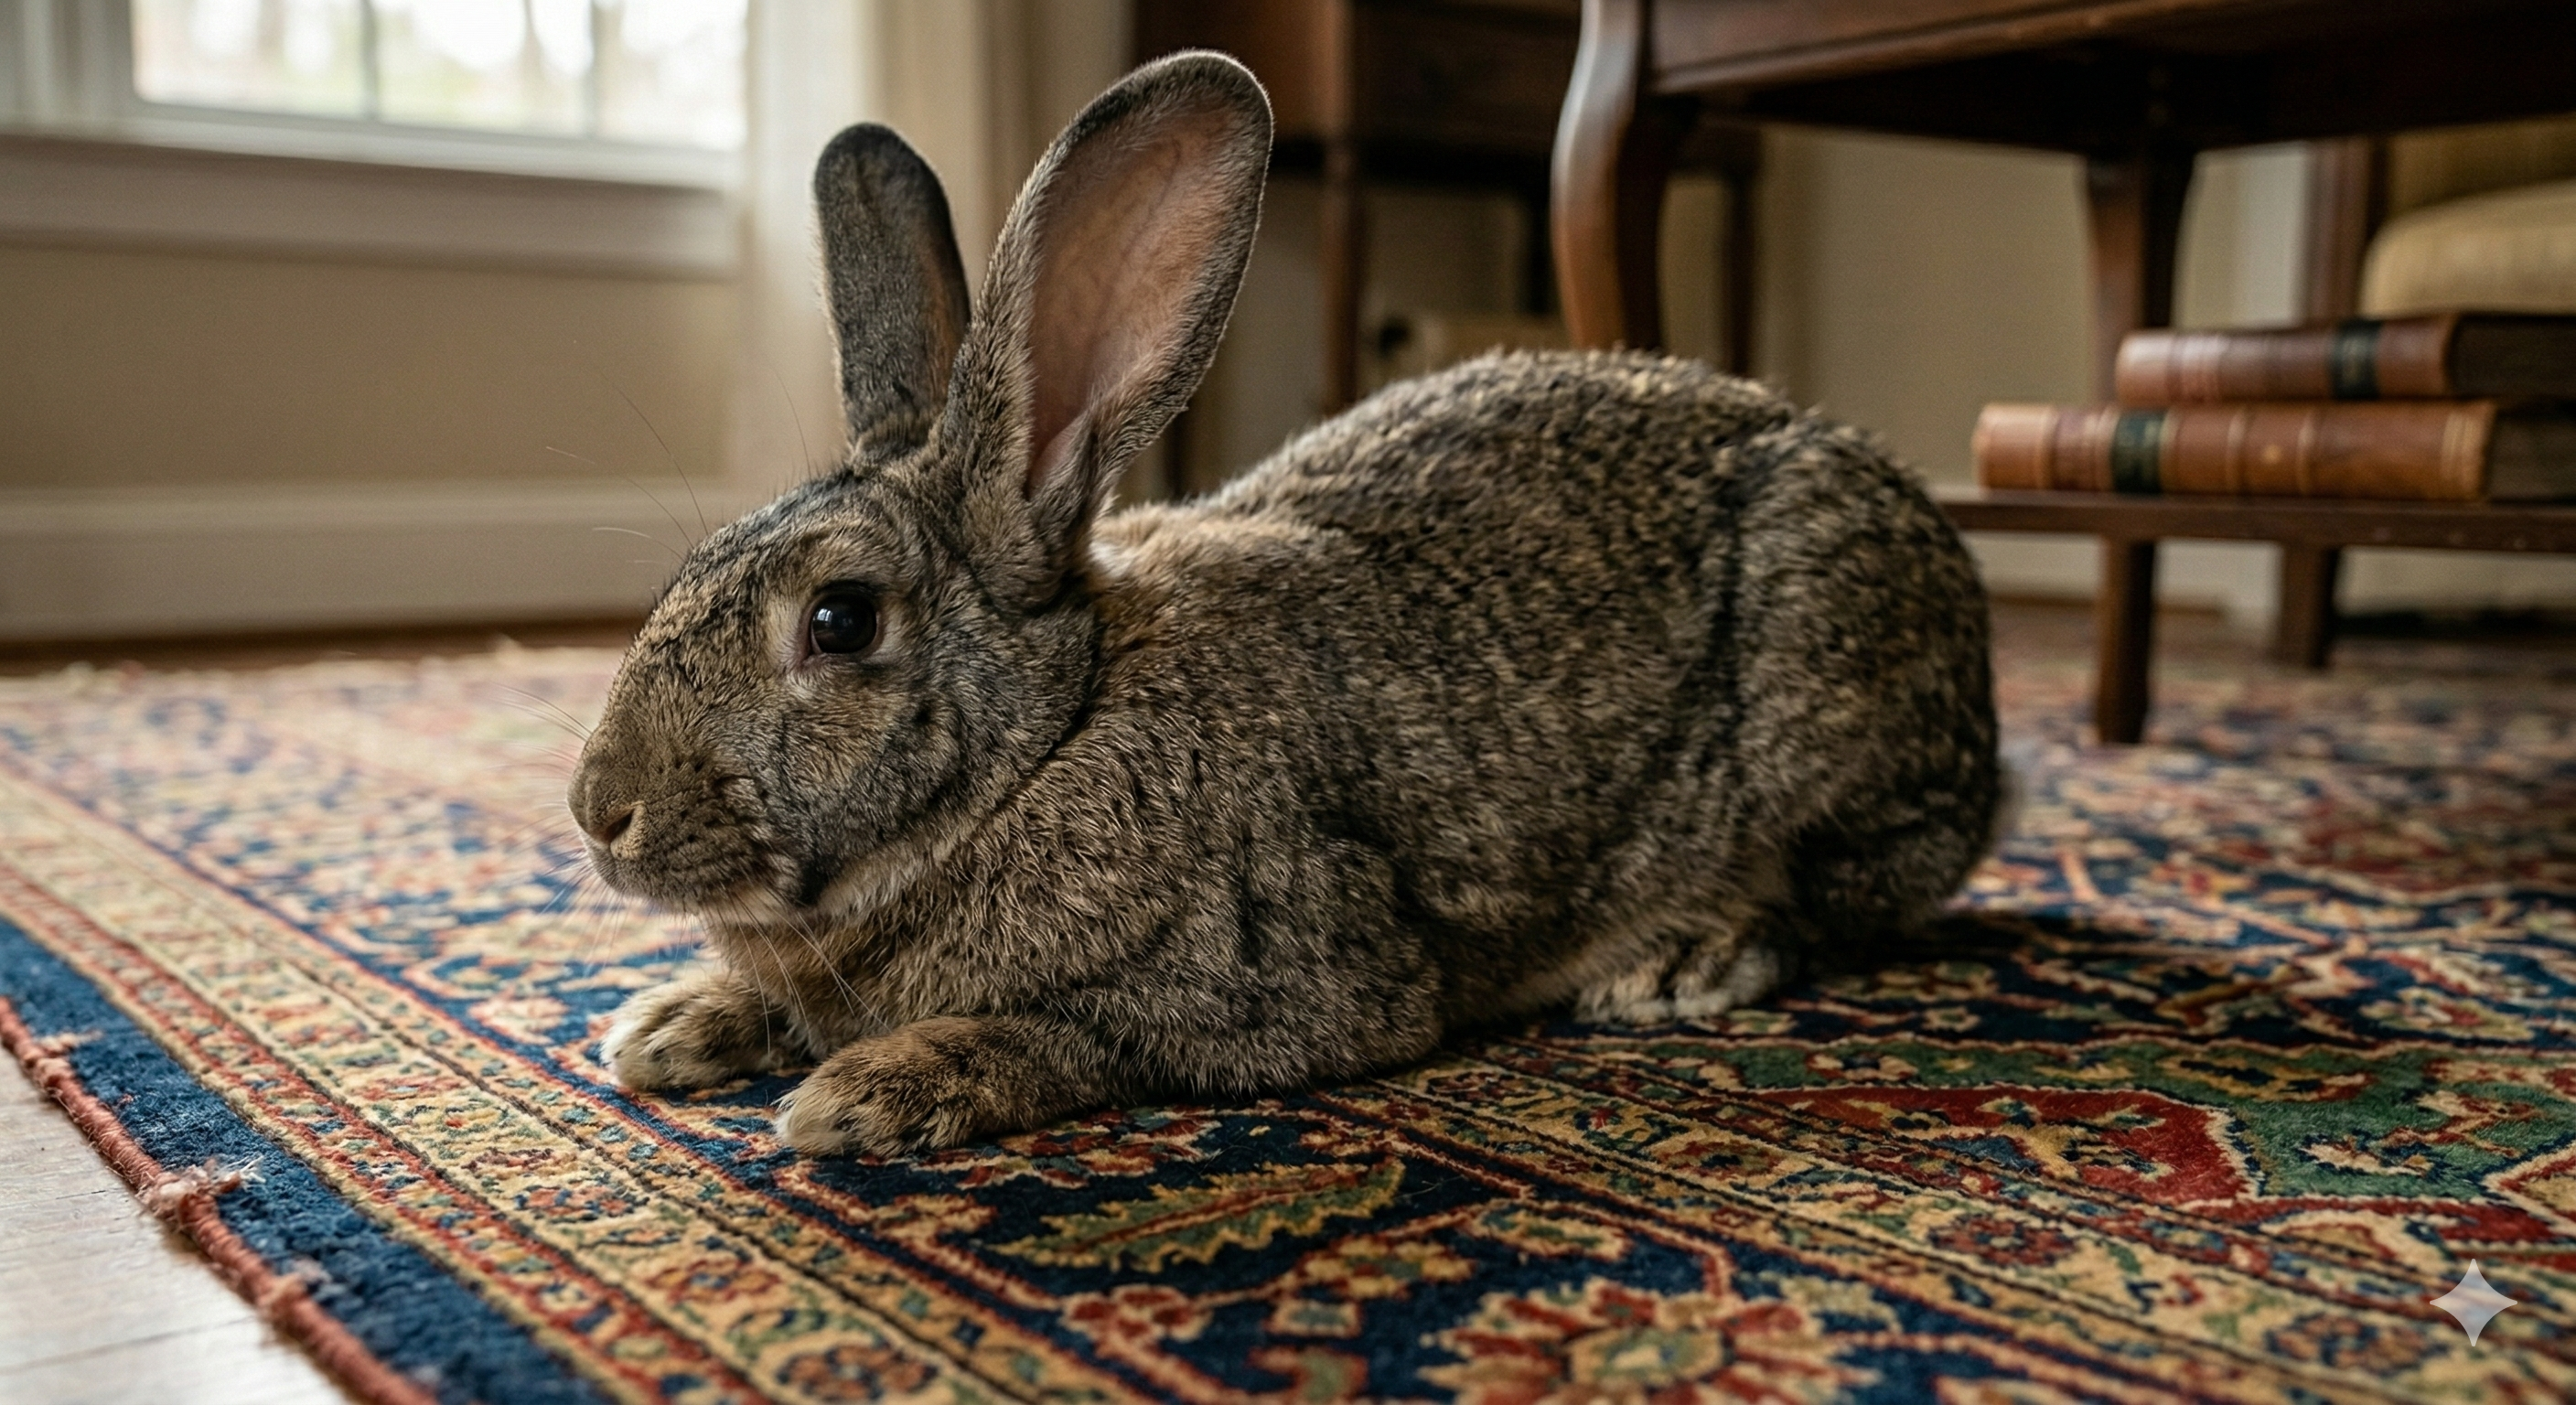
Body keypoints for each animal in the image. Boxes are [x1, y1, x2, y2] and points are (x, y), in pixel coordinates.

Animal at [568, 51, 2000, 1158]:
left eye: (841, 621)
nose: (597, 811)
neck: (1050, 741)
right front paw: (670, 1025)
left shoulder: (1285, 986)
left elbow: (1070, 1035)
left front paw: (866, 1090)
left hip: (1826, 686)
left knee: (1860, 888)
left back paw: (1688, 958)